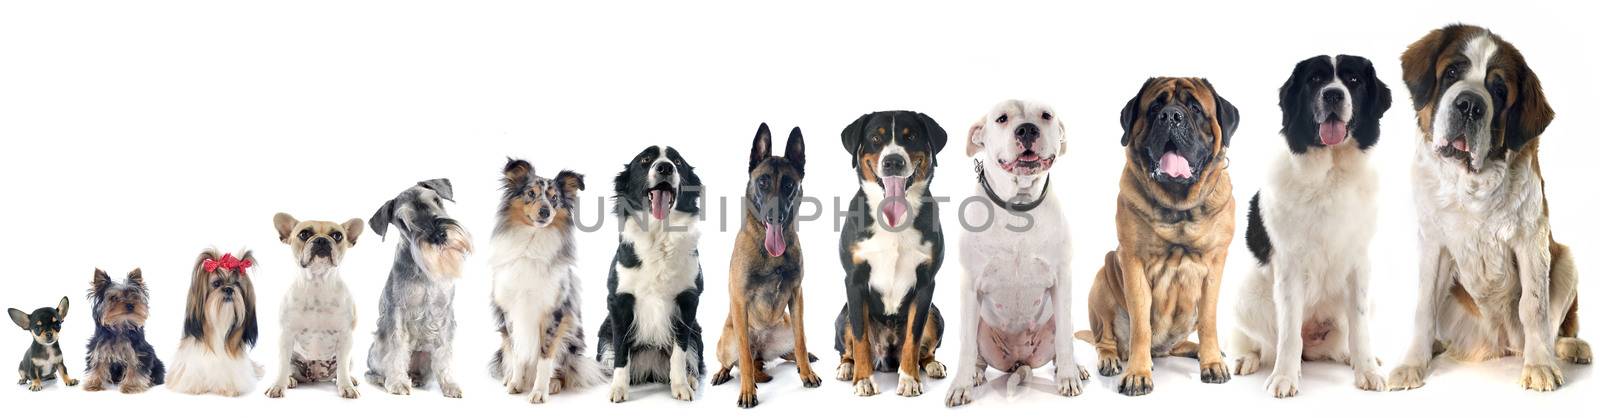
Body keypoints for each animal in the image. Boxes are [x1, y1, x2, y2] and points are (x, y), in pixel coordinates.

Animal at [1228, 53, 1395, 395]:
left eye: (1354, 80)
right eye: (1315, 80)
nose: (1333, 94)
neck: (1330, 174)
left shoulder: (1360, 263)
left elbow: (1360, 327)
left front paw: (1367, 369)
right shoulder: (1290, 265)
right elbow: (1289, 331)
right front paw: (1284, 377)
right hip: (1245, 293)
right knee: (1256, 340)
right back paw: (1245, 359)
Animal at [1388, 24, 1587, 392]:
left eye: (1498, 90)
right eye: (1452, 72)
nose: (1469, 104)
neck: (1473, 184)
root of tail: (1501, 345)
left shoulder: (1532, 239)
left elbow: (1534, 307)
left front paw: (1539, 365)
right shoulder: (1433, 243)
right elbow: (1424, 307)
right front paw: (1412, 364)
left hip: (1565, 260)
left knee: (1555, 326)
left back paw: (1569, 348)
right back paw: (1436, 346)